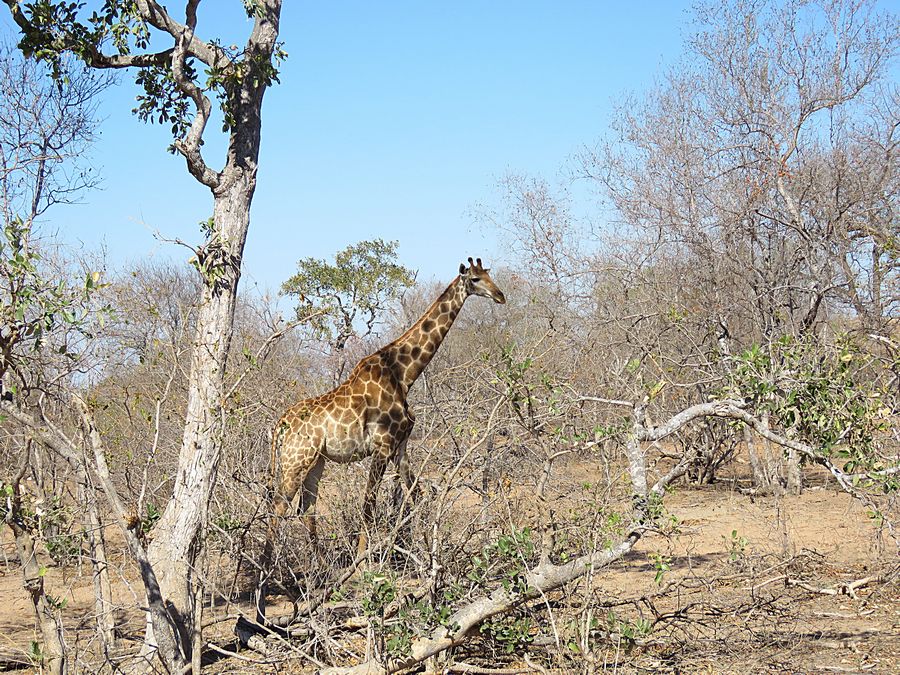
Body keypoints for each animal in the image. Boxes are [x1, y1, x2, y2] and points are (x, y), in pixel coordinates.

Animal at [263, 257, 505, 574]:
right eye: (475, 279)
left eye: (488, 274)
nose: (500, 295)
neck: (403, 374)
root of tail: (281, 424)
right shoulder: (382, 444)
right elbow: (369, 503)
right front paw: (363, 566)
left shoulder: (400, 445)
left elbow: (417, 496)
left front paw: (425, 557)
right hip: (295, 460)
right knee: (279, 506)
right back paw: (265, 571)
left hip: (316, 462)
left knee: (306, 508)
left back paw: (321, 570)